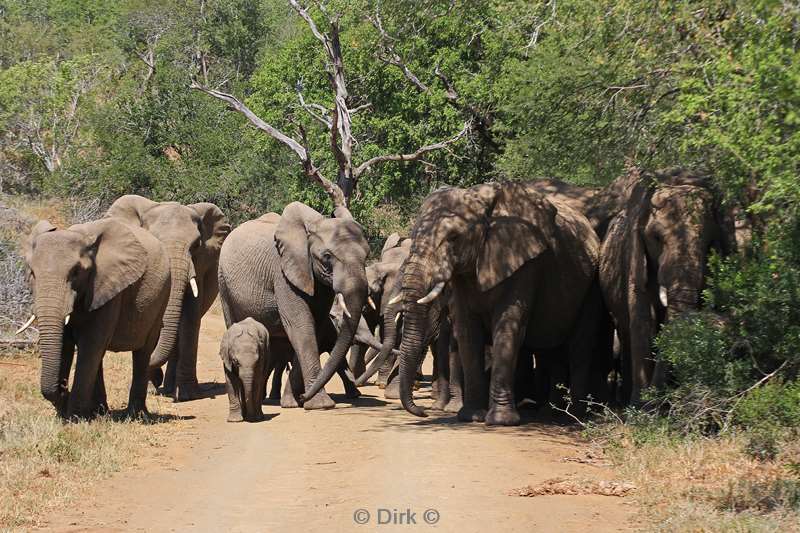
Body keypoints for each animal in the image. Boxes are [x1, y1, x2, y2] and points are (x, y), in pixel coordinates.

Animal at [20, 218, 170, 418]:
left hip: (162, 296)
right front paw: (66, 414)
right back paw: (100, 412)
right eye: (32, 273)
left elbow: (91, 343)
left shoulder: (108, 287)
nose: (63, 389)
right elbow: (66, 344)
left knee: (142, 352)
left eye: (76, 272)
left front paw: (75, 417)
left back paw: (135, 415)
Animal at [105, 194, 228, 400]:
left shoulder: (200, 264)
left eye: (196, 245)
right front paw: (151, 387)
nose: (157, 376)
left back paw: (171, 387)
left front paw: (188, 395)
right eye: (155, 241)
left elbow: (190, 317)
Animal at [219, 203, 368, 408]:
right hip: (223, 284)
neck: (315, 224)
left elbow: (313, 327)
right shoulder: (283, 274)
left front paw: (294, 402)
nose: (303, 396)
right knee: (232, 322)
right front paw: (321, 404)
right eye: (327, 256)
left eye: (367, 256)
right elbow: (301, 326)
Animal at [396, 181, 604, 426]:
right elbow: (467, 332)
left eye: (454, 237)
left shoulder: (524, 263)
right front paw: (470, 416)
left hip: (591, 286)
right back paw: (550, 413)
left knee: (579, 347)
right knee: (553, 350)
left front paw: (501, 421)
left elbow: (507, 327)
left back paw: (576, 418)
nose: (423, 411)